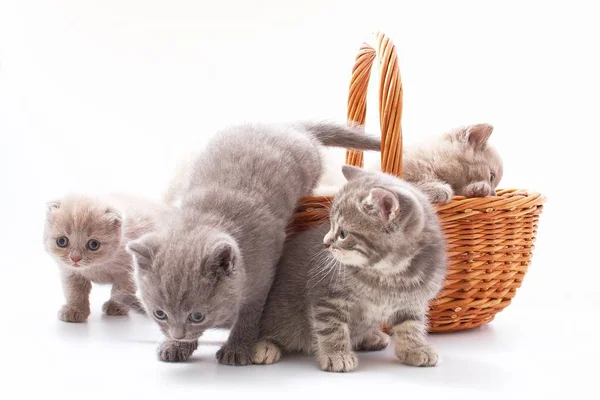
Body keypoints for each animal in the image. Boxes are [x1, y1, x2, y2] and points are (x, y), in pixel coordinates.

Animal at [43, 193, 171, 322]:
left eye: (93, 244)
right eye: (62, 241)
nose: (75, 258)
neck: (98, 266)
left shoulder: (128, 273)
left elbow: (121, 290)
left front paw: (115, 306)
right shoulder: (72, 273)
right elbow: (75, 293)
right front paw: (75, 310)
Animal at [125, 121, 380, 366]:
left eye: (197, 316)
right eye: (160, 314)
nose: (178, 334)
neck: (203, 217)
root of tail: (288, 126)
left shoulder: (262, 281)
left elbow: (249, 316)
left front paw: (236, 349)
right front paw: (176, 346)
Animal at [252, 165, 446, 372]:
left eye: (343, 233)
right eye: (330, 224)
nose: (325, 243)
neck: (388, 275)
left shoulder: (412, 301)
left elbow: (411, 324)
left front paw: (415, 348)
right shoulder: (327, 297)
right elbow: (332, 327)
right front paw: (337, 355)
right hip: (280, 311)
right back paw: (264, 346)